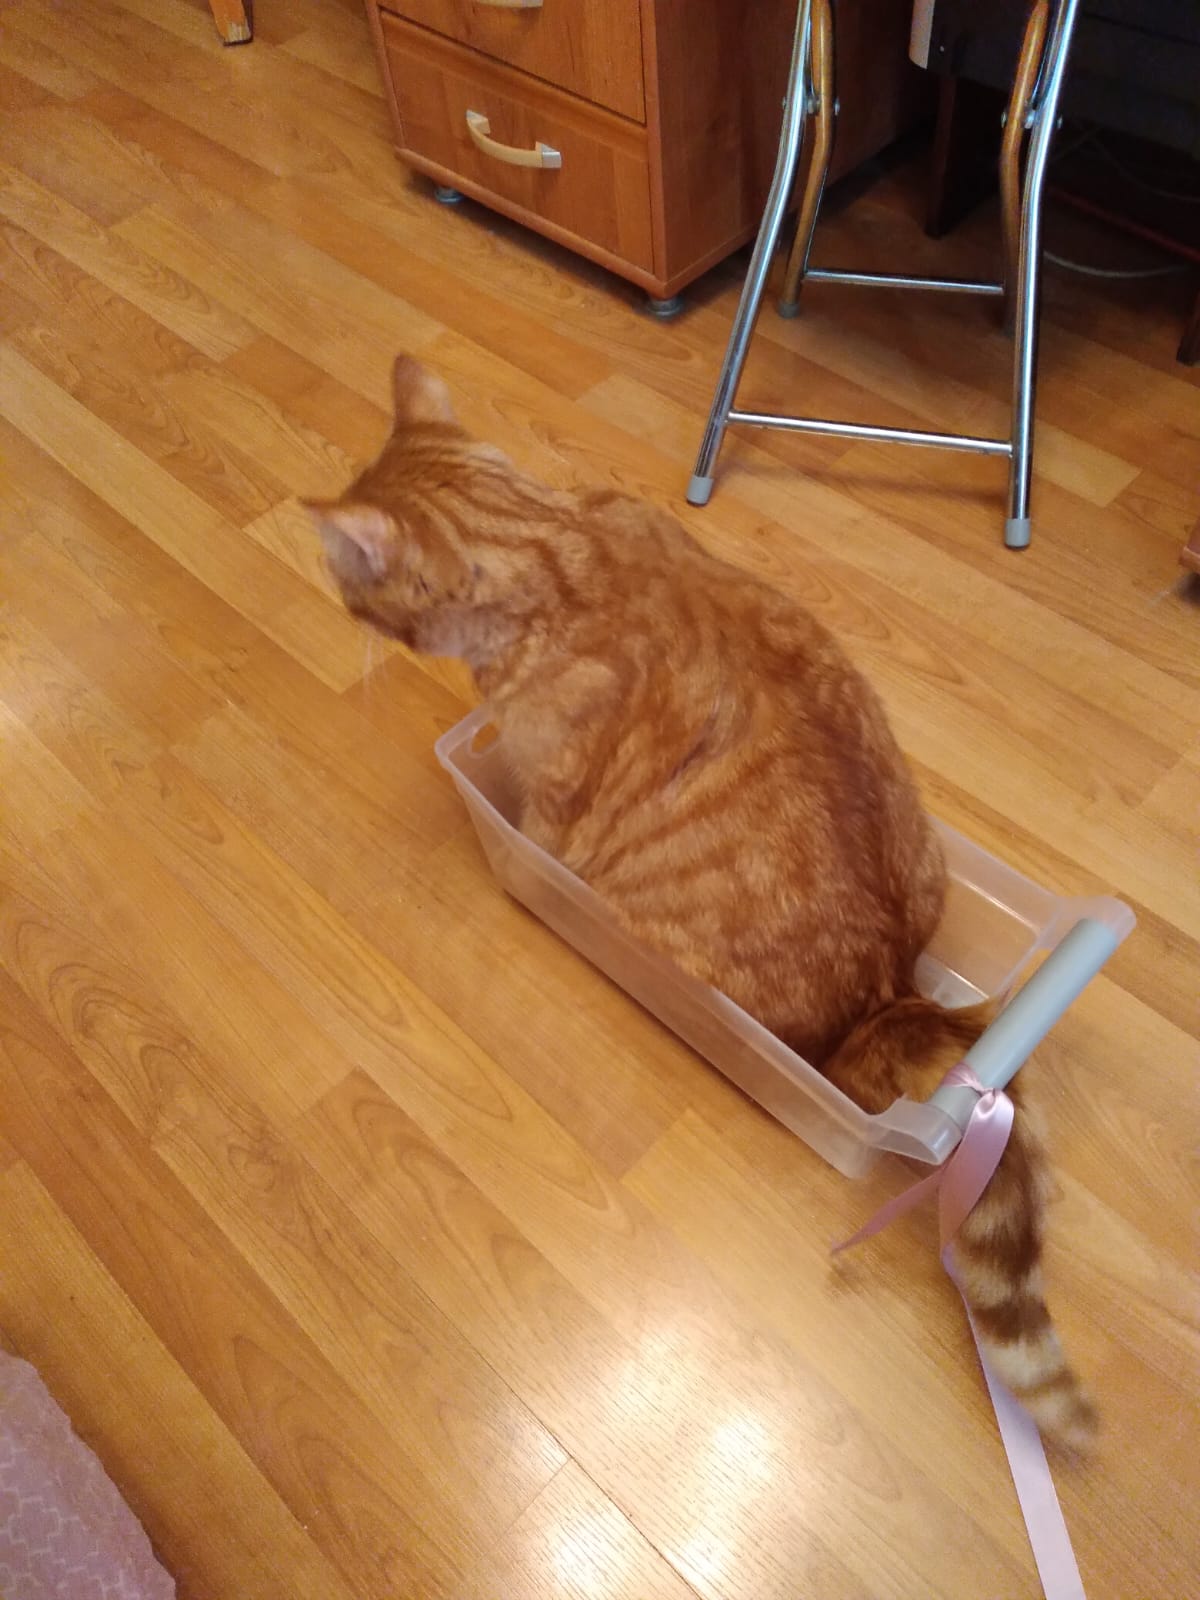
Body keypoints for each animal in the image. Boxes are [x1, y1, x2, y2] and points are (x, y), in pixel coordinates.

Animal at [305, 353, 1096, 1450]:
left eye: (347, 581)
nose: (332, 600)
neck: (563, 551)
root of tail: (892, 994)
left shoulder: (552, 807)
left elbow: (535, 827)